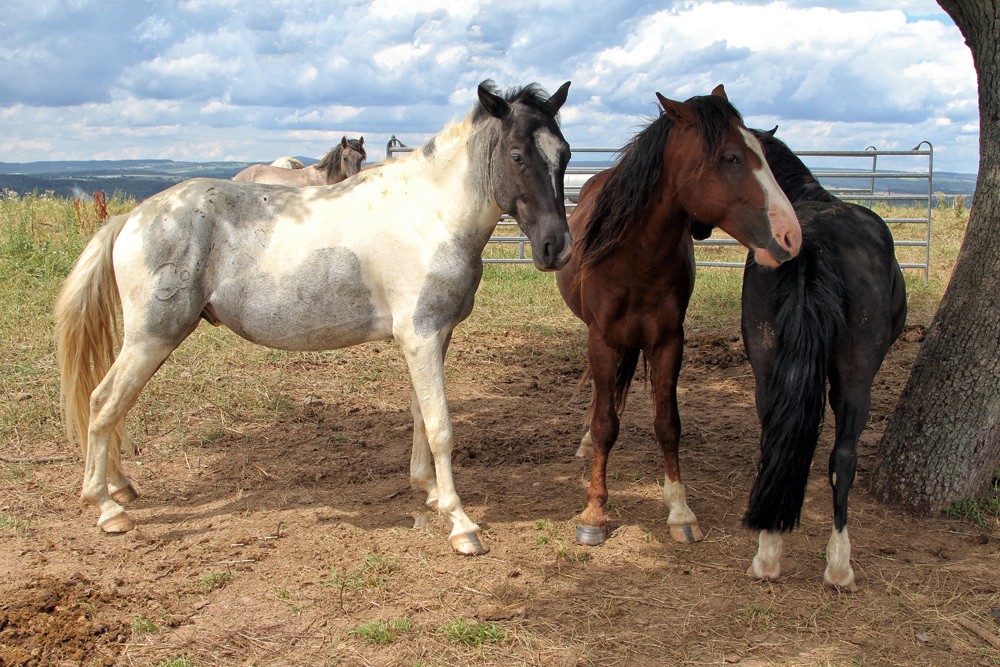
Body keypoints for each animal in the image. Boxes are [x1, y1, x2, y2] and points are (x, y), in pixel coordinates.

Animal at [54, 79, 572, 560]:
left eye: (564, 154)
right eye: (517, 154)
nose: (556, 248)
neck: (431, 214)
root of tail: (133, 217)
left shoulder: (431, 337)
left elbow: (419, 415)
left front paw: (426, 489)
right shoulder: (421, 337)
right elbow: (441, 426)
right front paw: (461, 523)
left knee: (110, 405)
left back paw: (119, 489)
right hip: (151, 338)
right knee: (103, 403)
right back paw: (106, 508)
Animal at [556, 86, 804, 548]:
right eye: (731, 157)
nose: (791, 237)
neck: (635, 258)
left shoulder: (670, 341)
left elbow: (668, 424)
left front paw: (680, 510)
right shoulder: (602, 339)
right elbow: (605, 424)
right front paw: (594, 512)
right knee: (600, 398)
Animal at [740, 128, 912, 592]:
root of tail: (811, 244)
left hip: (766, 366)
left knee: (772, 442)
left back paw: (768, 552)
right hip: (856, 379)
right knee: (844, 459)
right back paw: (839, 566)